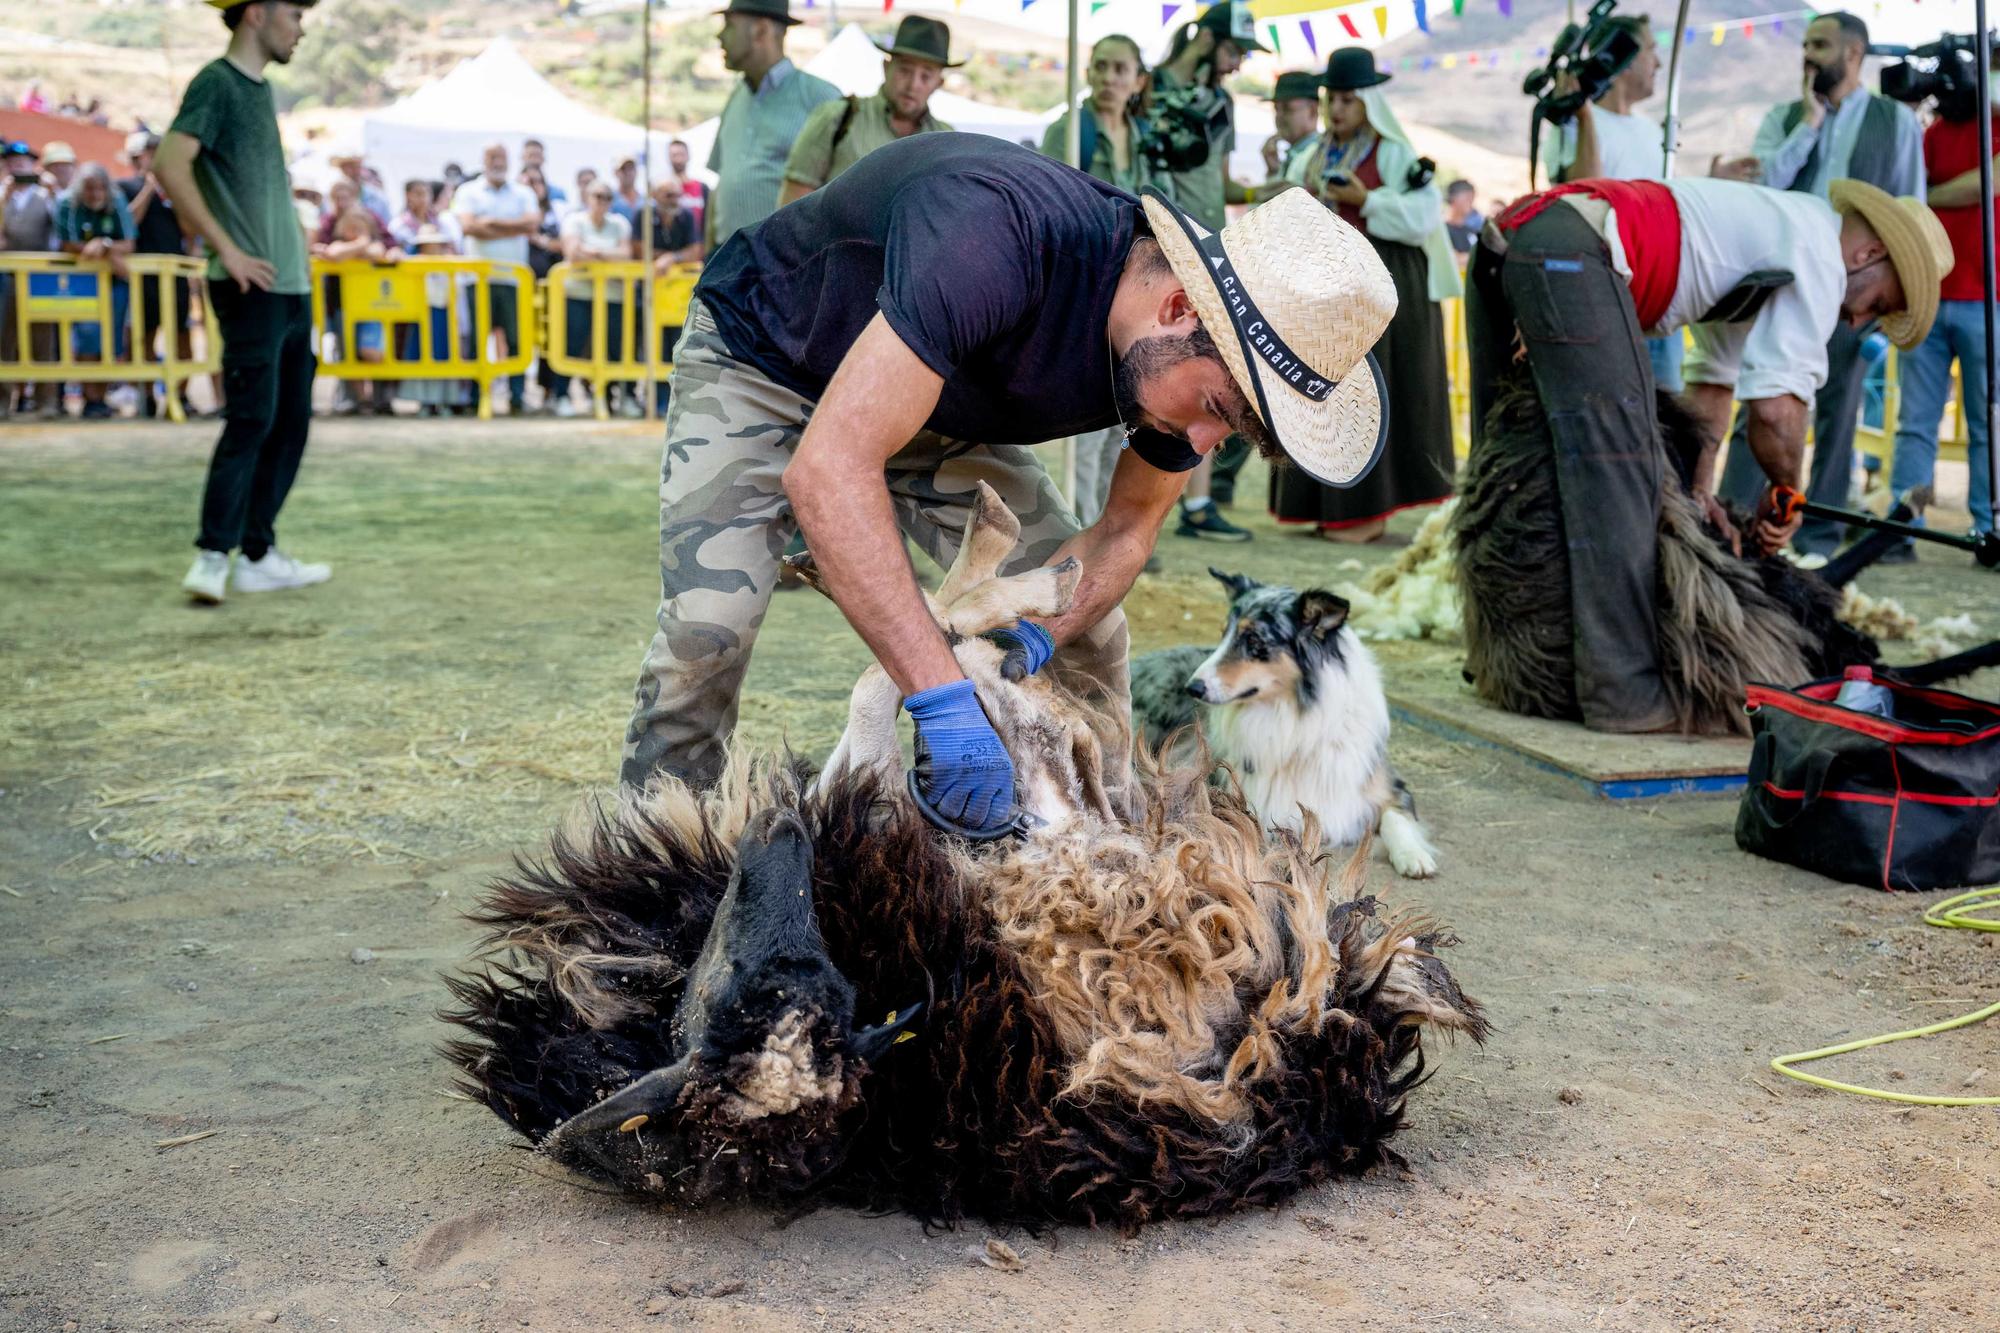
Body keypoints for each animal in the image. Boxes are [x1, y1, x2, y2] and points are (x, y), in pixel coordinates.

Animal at [1128, 568, 1440, 872]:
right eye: (1223, 635)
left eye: (1254, 640)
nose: (1192, 688)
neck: (1292, 717)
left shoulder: (1386, 786)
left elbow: (1396, 816)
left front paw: (1412, 855)